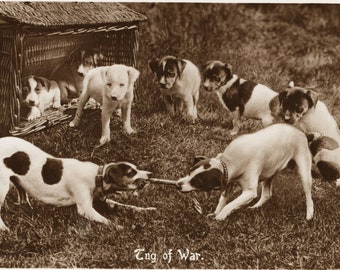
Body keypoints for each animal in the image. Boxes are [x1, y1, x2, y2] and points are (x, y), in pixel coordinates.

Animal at [0, 136, 153, 231]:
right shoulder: (86, 209)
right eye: (131, 172)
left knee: (22, 199)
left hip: (18, 182)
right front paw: (123, 227)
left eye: (136, 168)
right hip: (2, 188)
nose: (151, 174)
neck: (97, 176)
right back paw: (5, 229)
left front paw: (146, 209)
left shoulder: (102, 200)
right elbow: (107, 221)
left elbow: (127, 206)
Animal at [177, 123, 314, 220]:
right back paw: (255, 207)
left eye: (198, 182)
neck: (229, 161)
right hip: (269, 171)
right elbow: (223, 201)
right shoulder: (227, 182)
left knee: (308, 195)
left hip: (304, 172)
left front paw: (221, 216)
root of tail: (302, 132)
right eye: (190, 171)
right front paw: (216, 212)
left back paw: (309, 214)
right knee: (267, 194)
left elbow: (230, 204)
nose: (178, 185)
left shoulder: (249, 192)